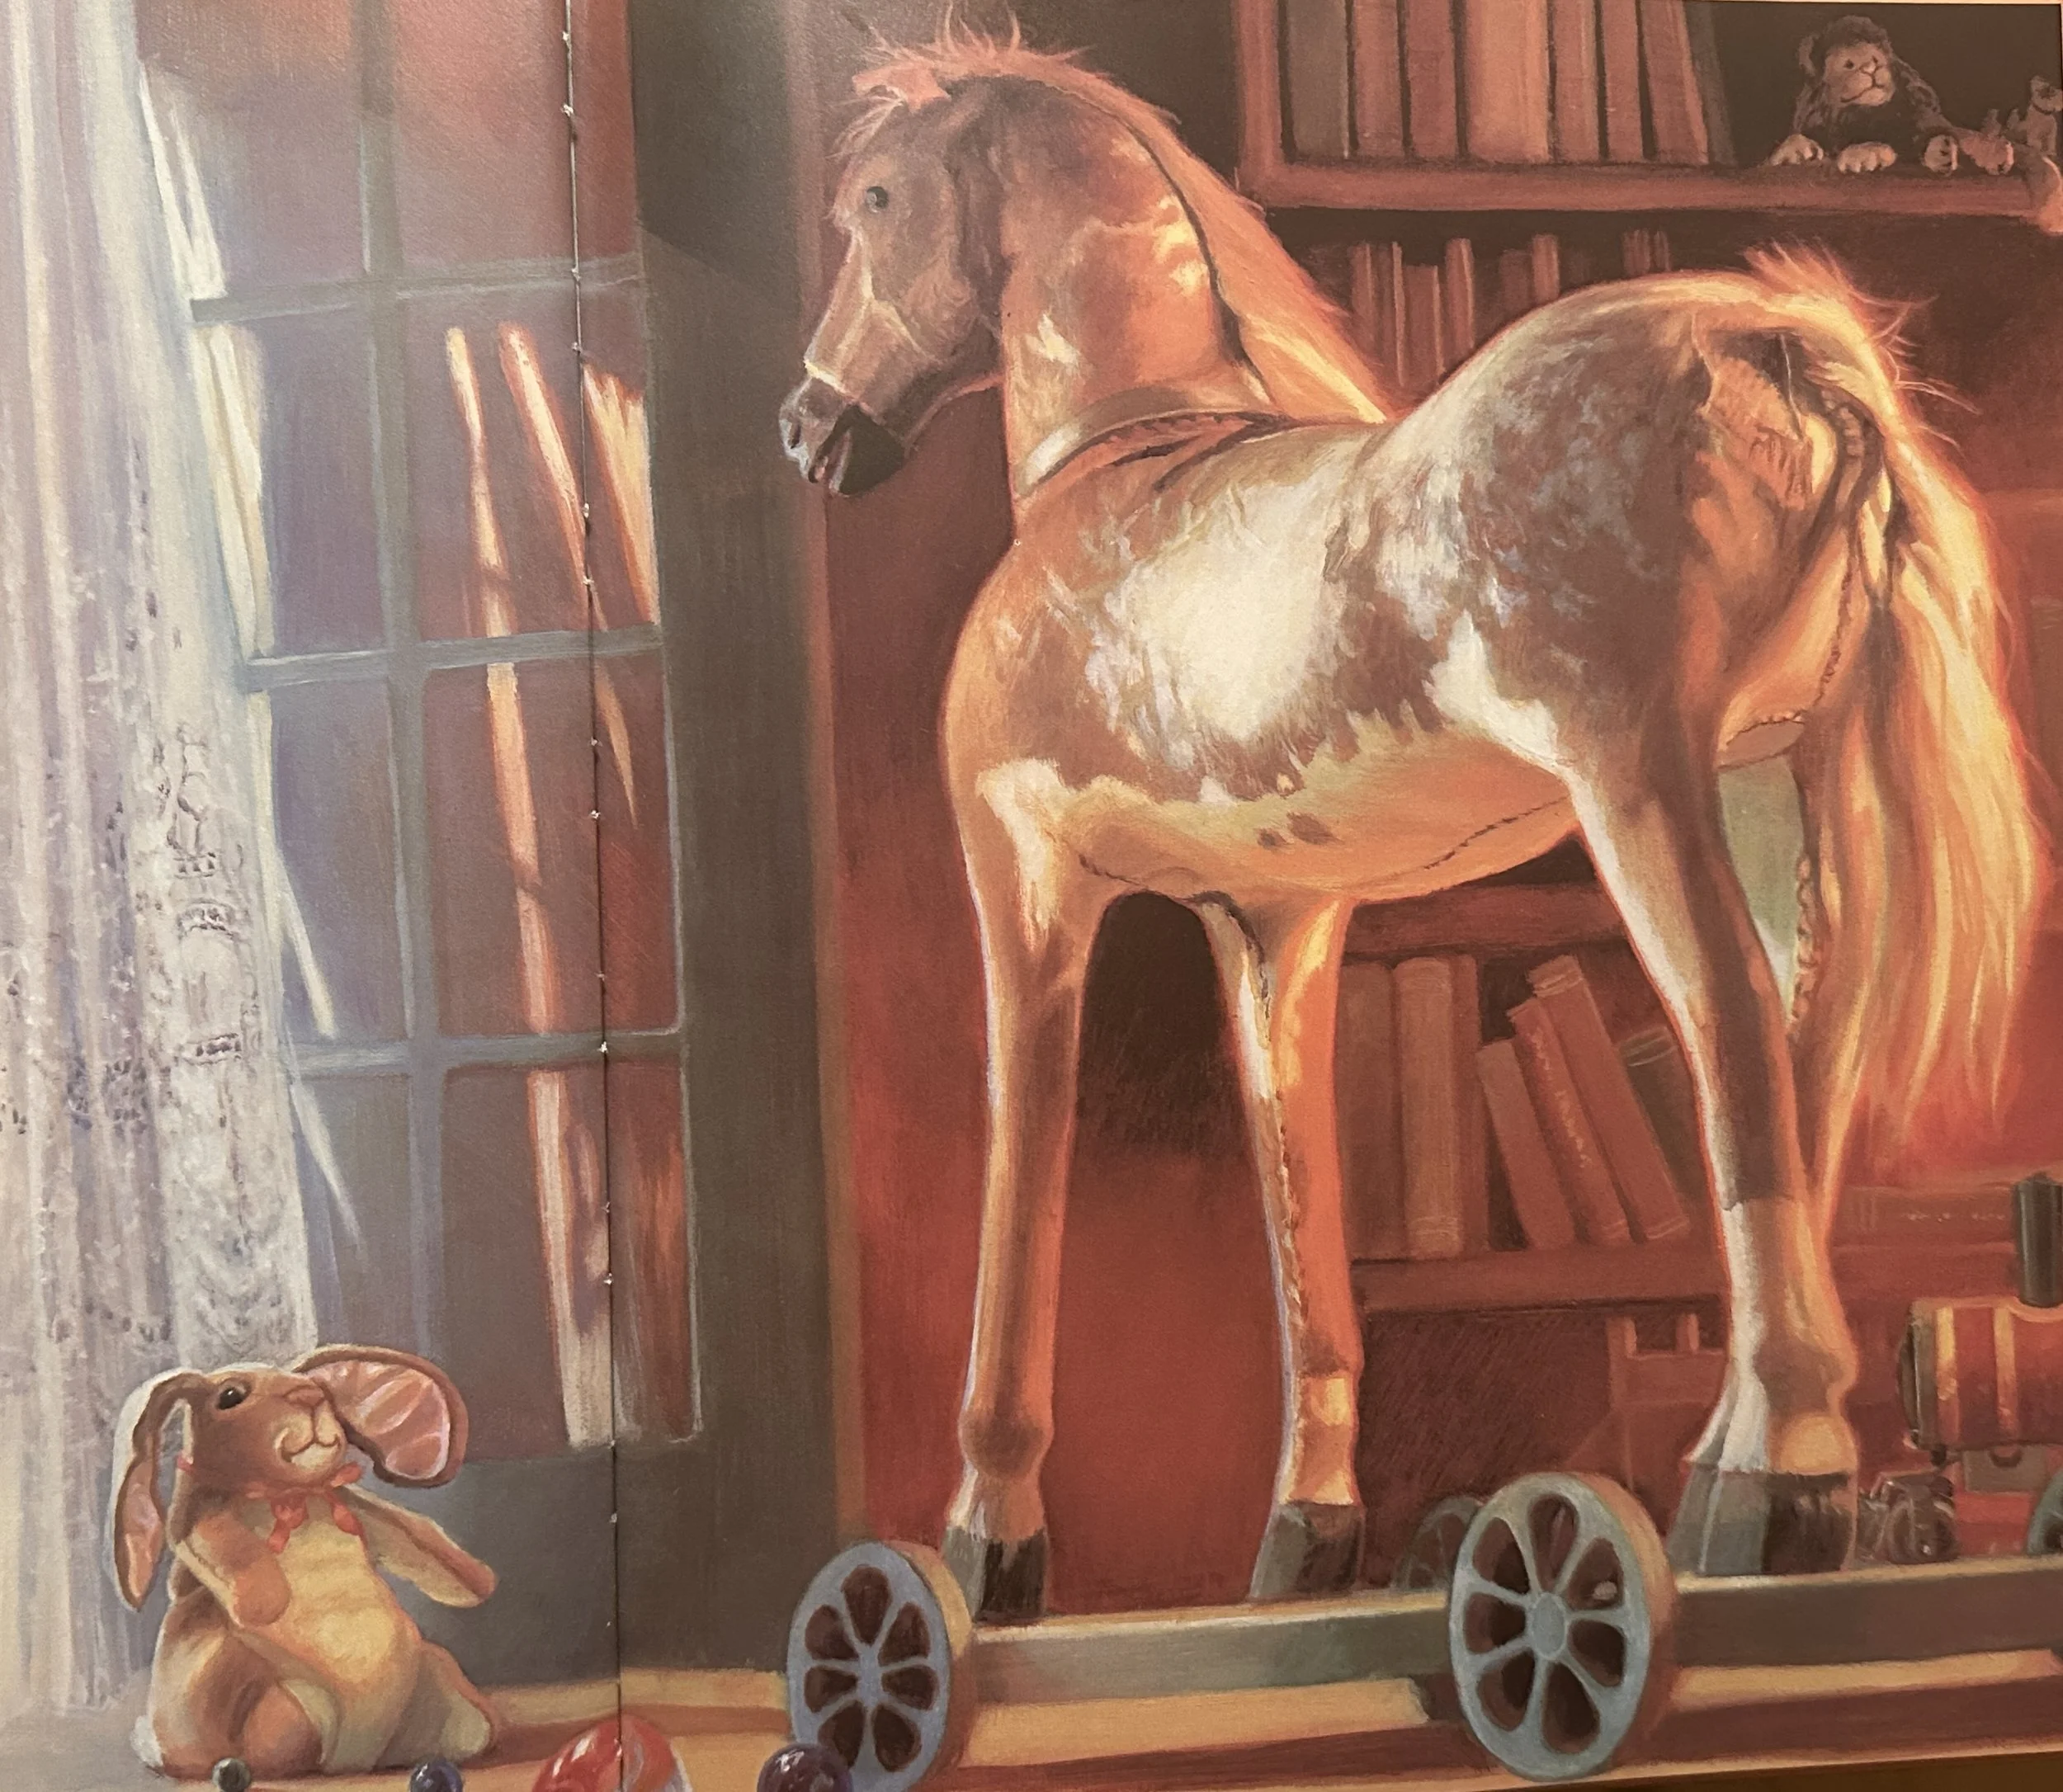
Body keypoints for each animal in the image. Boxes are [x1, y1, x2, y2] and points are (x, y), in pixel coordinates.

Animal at [779, 29, 2044, 1623]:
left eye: (874, 201)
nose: (811, 429)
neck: (1126, 479)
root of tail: (1768, 340)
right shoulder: (1277, 926)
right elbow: (1300, 1200)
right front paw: (1304, 1535)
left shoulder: (1029, 887)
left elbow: (1023, 1173)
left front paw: (984, 1543)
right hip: (1772, 790)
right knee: (1802, 1065)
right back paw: (1727, 1465)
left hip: (1642, 785)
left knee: (1736, 1045)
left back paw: (1770, 1490)